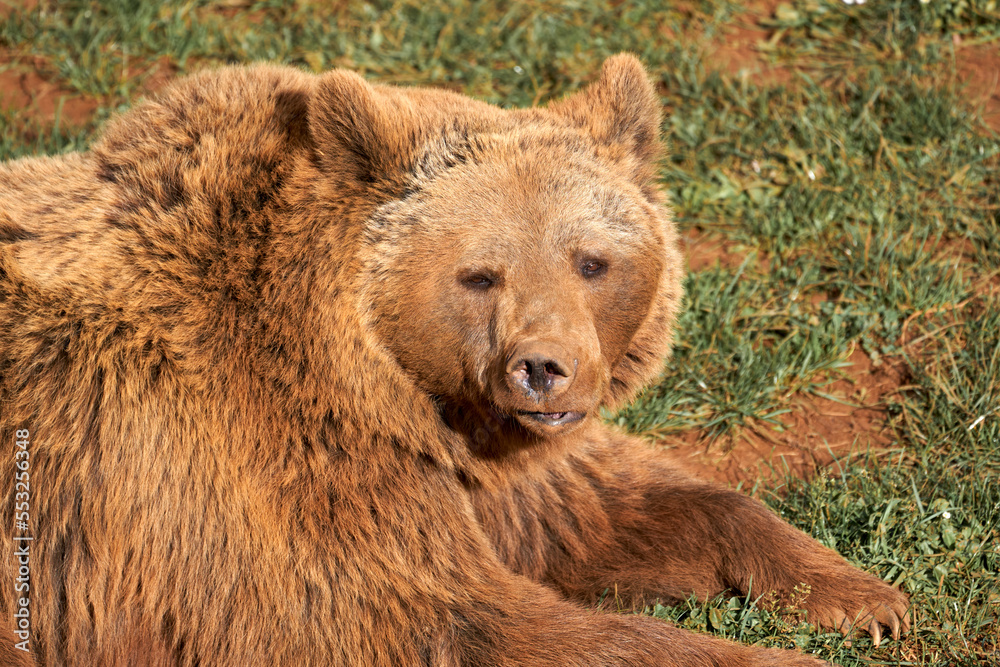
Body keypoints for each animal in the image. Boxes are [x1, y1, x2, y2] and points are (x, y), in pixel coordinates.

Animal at [0, 54, 908, 664]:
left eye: (591, 260)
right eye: (479, 273)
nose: (544, 366)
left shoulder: (495, 466)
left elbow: (618, 507)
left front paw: (867, 596)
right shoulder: (265, 485)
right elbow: (448, 618)